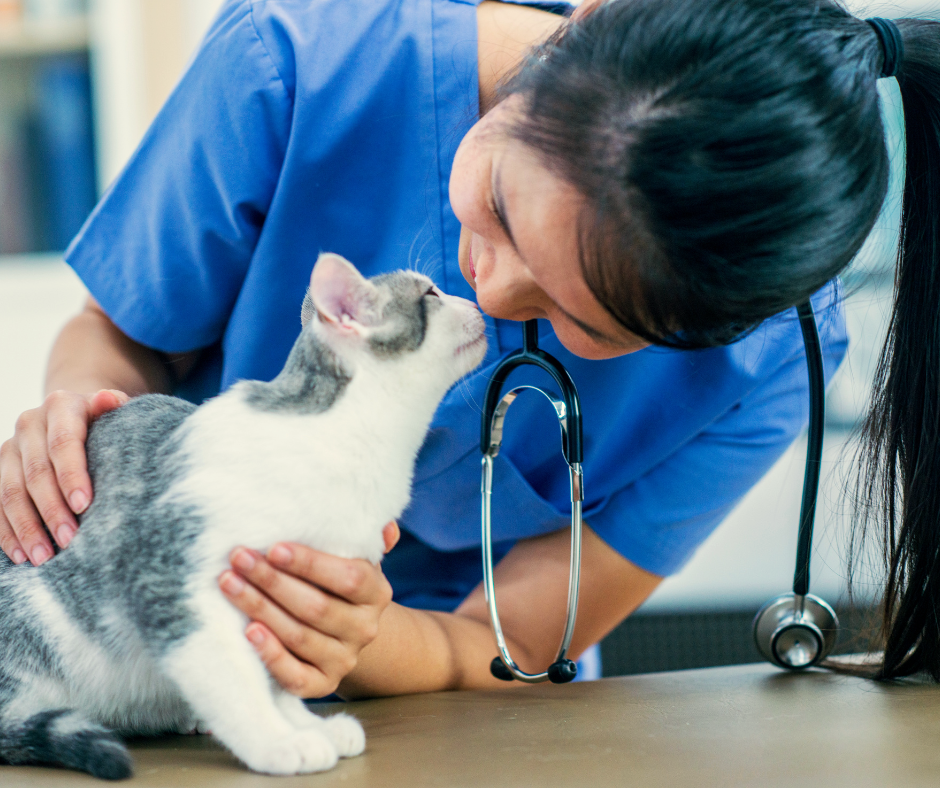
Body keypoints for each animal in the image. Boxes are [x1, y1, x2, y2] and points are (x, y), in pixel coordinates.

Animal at [0, 252, 488, 776]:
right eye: (431, 294)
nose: (474, 301)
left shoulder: (282, 601)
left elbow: (277, 675)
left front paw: (302, 723)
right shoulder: (169, 576)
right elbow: (233, 675)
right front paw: (275, 740)